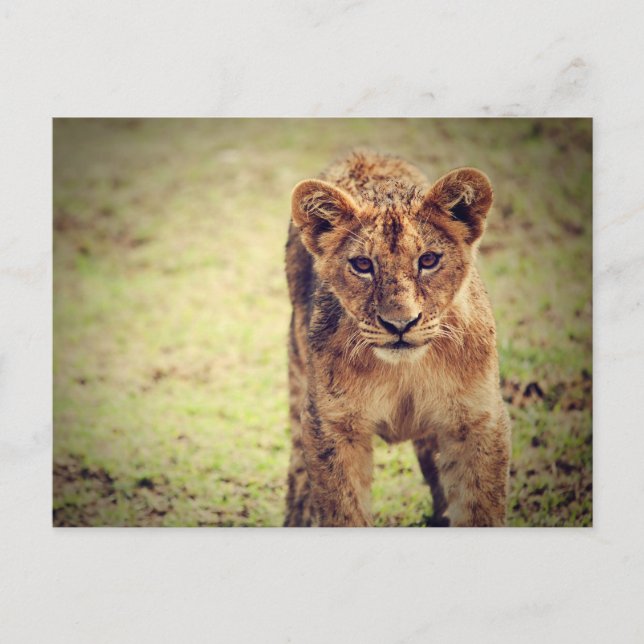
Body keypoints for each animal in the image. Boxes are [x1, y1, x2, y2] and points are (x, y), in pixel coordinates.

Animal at [284, 150, 511, 527]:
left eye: (428, 260)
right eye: (363, 265)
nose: (400, 323)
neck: (405, 372)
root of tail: (366, 153)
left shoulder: (478, 421)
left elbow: (480, 508)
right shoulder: (332, 426)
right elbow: (344, 510)